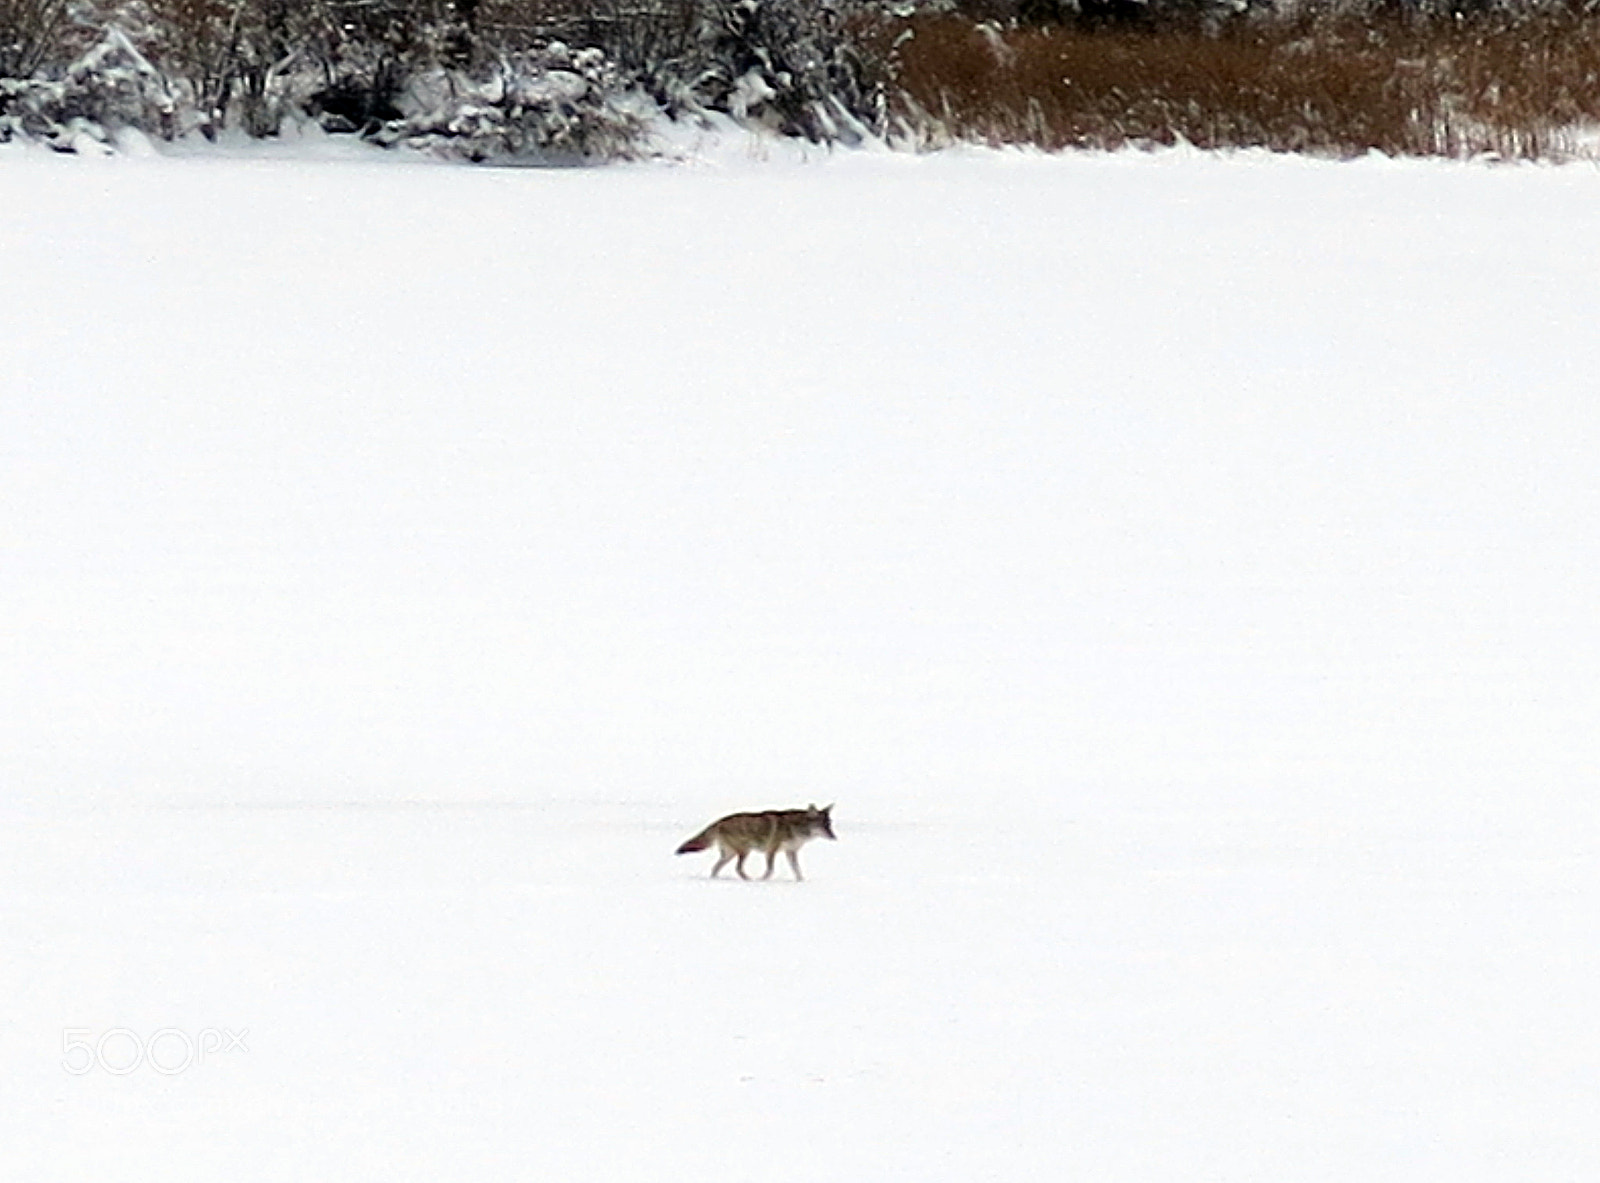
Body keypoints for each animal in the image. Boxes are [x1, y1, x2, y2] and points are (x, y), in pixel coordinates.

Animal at [675, 804, 836, 881]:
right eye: (824, 826)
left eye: (830, 825)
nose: (835, 837)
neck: (796, 828)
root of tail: (718, 822)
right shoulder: (771, 851)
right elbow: (770, 871)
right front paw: (762, 880)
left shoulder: (791, 852)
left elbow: (797, 870)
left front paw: (801, 882)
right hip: (745, 851)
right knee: (737, 869)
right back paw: (750, 880)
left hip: (730, 854)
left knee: (715, 868)